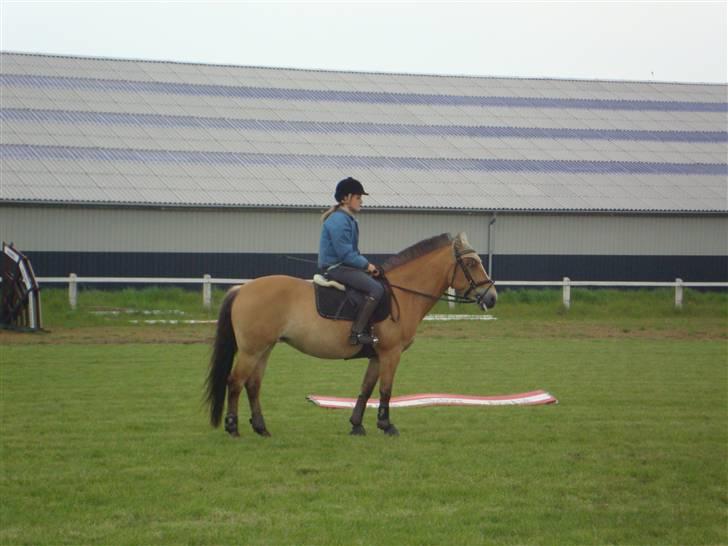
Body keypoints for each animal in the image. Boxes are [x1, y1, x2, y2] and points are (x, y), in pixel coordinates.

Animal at [208, 232, 498, 436]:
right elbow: (386, 389)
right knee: (235, 382)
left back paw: (261, 428)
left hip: (264, 348)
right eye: (471, 262)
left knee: (253, 385)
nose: (492, 297)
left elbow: (366, 388)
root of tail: (242, 289)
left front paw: (357, 425)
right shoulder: (391, 353)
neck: (401, 294)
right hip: (251, 350)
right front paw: (386, 425)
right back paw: (233, 427)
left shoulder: (377, 356)